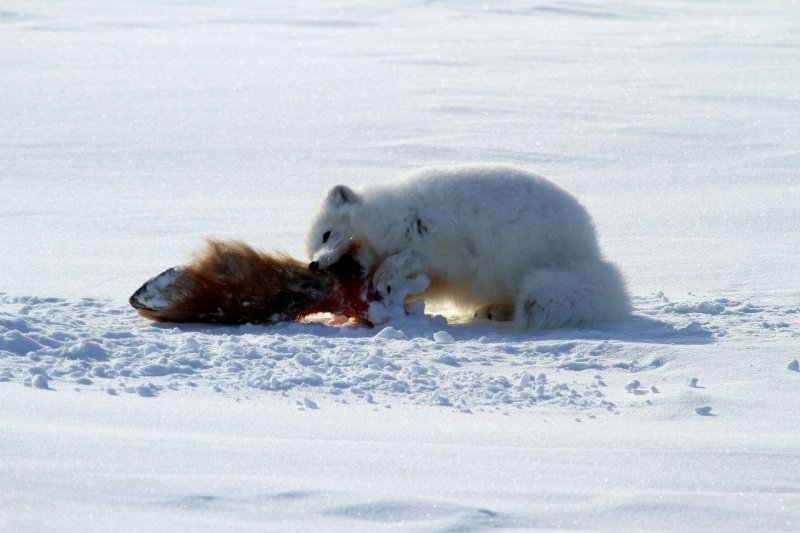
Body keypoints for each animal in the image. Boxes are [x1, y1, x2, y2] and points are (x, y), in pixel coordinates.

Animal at [306, 164, 632, 328]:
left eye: (326, 234)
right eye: (311, 250)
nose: (313, 264)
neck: (397, 217)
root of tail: (591, 254)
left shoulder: (455, 251)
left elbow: (409, 254)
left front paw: (387, 275)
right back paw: (493, 311)